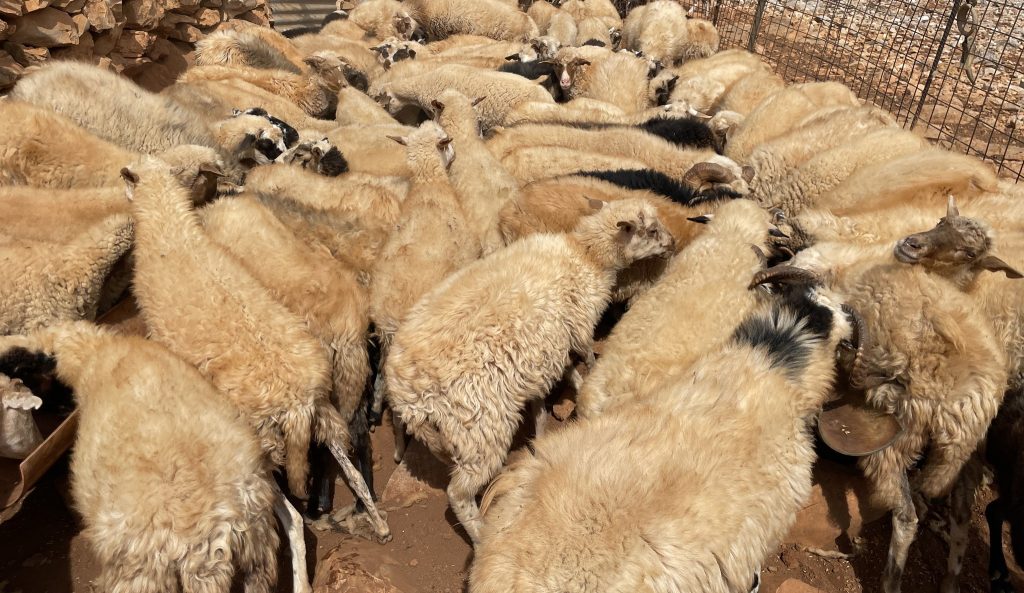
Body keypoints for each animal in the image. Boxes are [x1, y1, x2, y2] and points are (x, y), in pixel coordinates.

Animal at [386, 197, 674, 544]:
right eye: (652, 230)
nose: (673, 243)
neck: (585, 255)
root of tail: (406, 393)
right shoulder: (578, 325)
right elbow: (586, 358)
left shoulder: (551, 341)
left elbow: (563, 371)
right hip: (479, 428)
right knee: (458, 493)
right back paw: (479, 534)